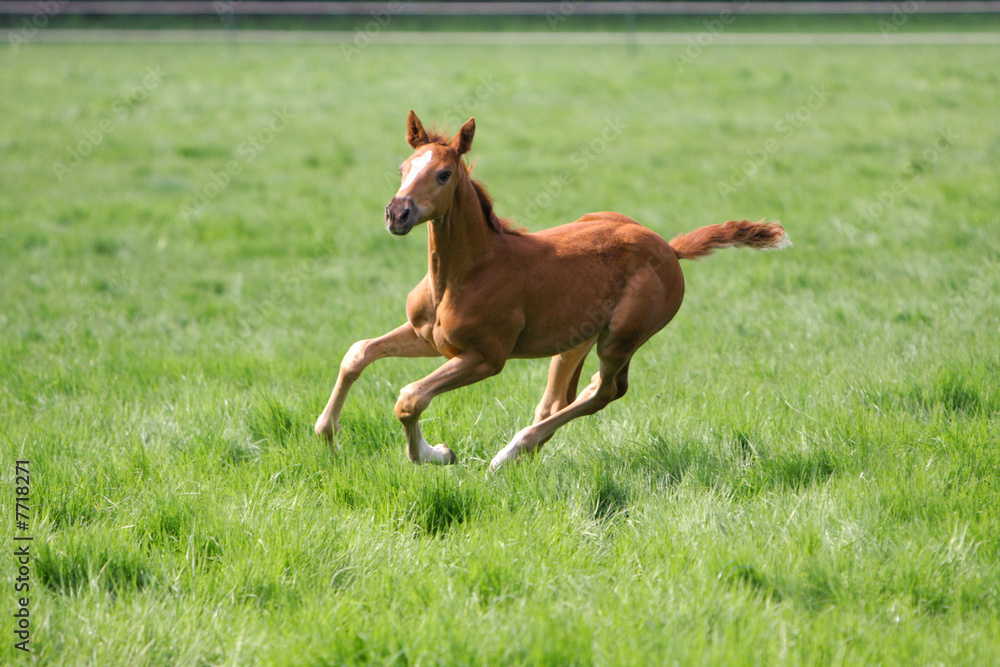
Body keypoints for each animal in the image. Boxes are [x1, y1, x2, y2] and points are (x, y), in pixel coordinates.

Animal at [314, 111, 788, 474]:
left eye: (443, 173)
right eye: (403, 169)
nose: (397, 213)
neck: (463, 273)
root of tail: (669, 249)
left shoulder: (486, 357)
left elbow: (410, 398)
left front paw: (438, 454)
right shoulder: (427, 337)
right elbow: (357, 353)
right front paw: (327, 433)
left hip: (620, 337)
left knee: (605, 392)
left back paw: (509, 453)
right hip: (574, 341)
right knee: (564, 396)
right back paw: (526, 451)